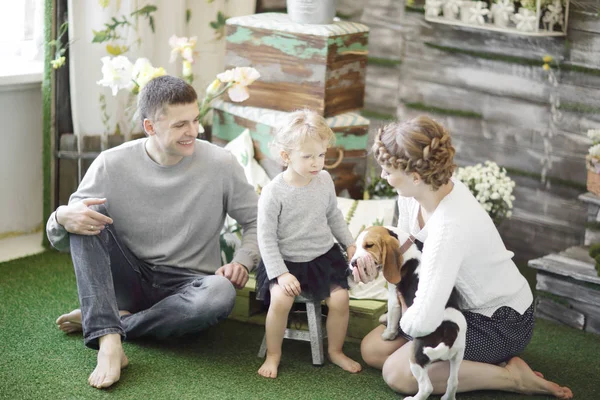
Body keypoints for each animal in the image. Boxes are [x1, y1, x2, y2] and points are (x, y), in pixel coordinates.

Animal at [350, 227, 466, 400]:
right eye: (356, 245)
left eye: (369, 245)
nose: (352, 263)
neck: (406, 246)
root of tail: (450, 329)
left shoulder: (393, 296)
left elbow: (392, 317)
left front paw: (388, 335)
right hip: (458, 356)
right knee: (453, 382)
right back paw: (447, 397)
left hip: (417, 357)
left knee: (426, 387)